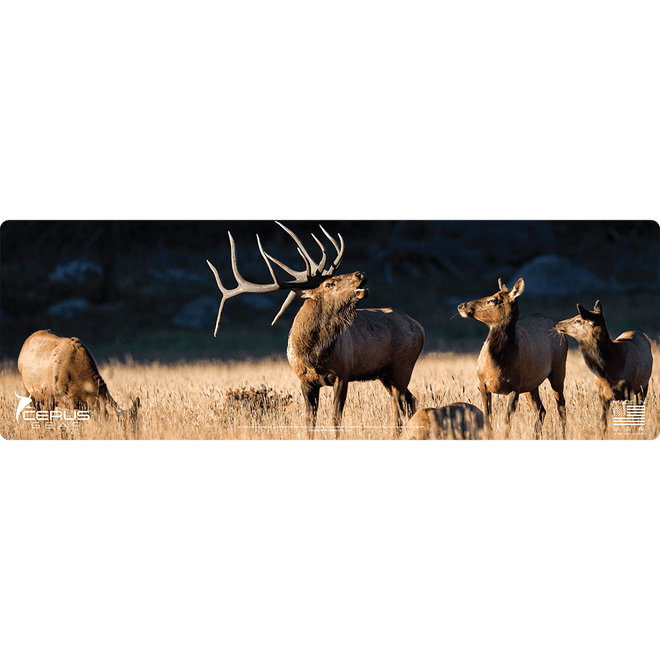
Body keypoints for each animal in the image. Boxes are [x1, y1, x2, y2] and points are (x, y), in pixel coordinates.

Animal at [206, 223, 425, 439]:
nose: (361, 274)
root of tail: (420, 327)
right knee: (408, 401)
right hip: (385, 373)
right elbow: (309, 422)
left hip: (403, 365)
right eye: (330, 283)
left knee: (401, 405)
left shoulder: (343, 374)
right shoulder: (305, 380)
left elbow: (335, 419)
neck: (314, 355)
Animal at [457, 278, 568, 439]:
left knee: (561, 407)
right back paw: (536, 437)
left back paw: (564, 436)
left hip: (559, 369)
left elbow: (506, 421)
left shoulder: (515, 387)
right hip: (531, 384)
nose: (461, 306)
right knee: (541, 410)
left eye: (493, 300)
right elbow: (488, 417)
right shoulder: (482, 382)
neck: (497, 365)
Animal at [555, 300, 653, 430]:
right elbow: (603, 423)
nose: (557, 324)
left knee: (639, 412)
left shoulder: (628, 391)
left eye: (578, 320)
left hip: (644, 386)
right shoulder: (602, 394)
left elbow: (629, 421)